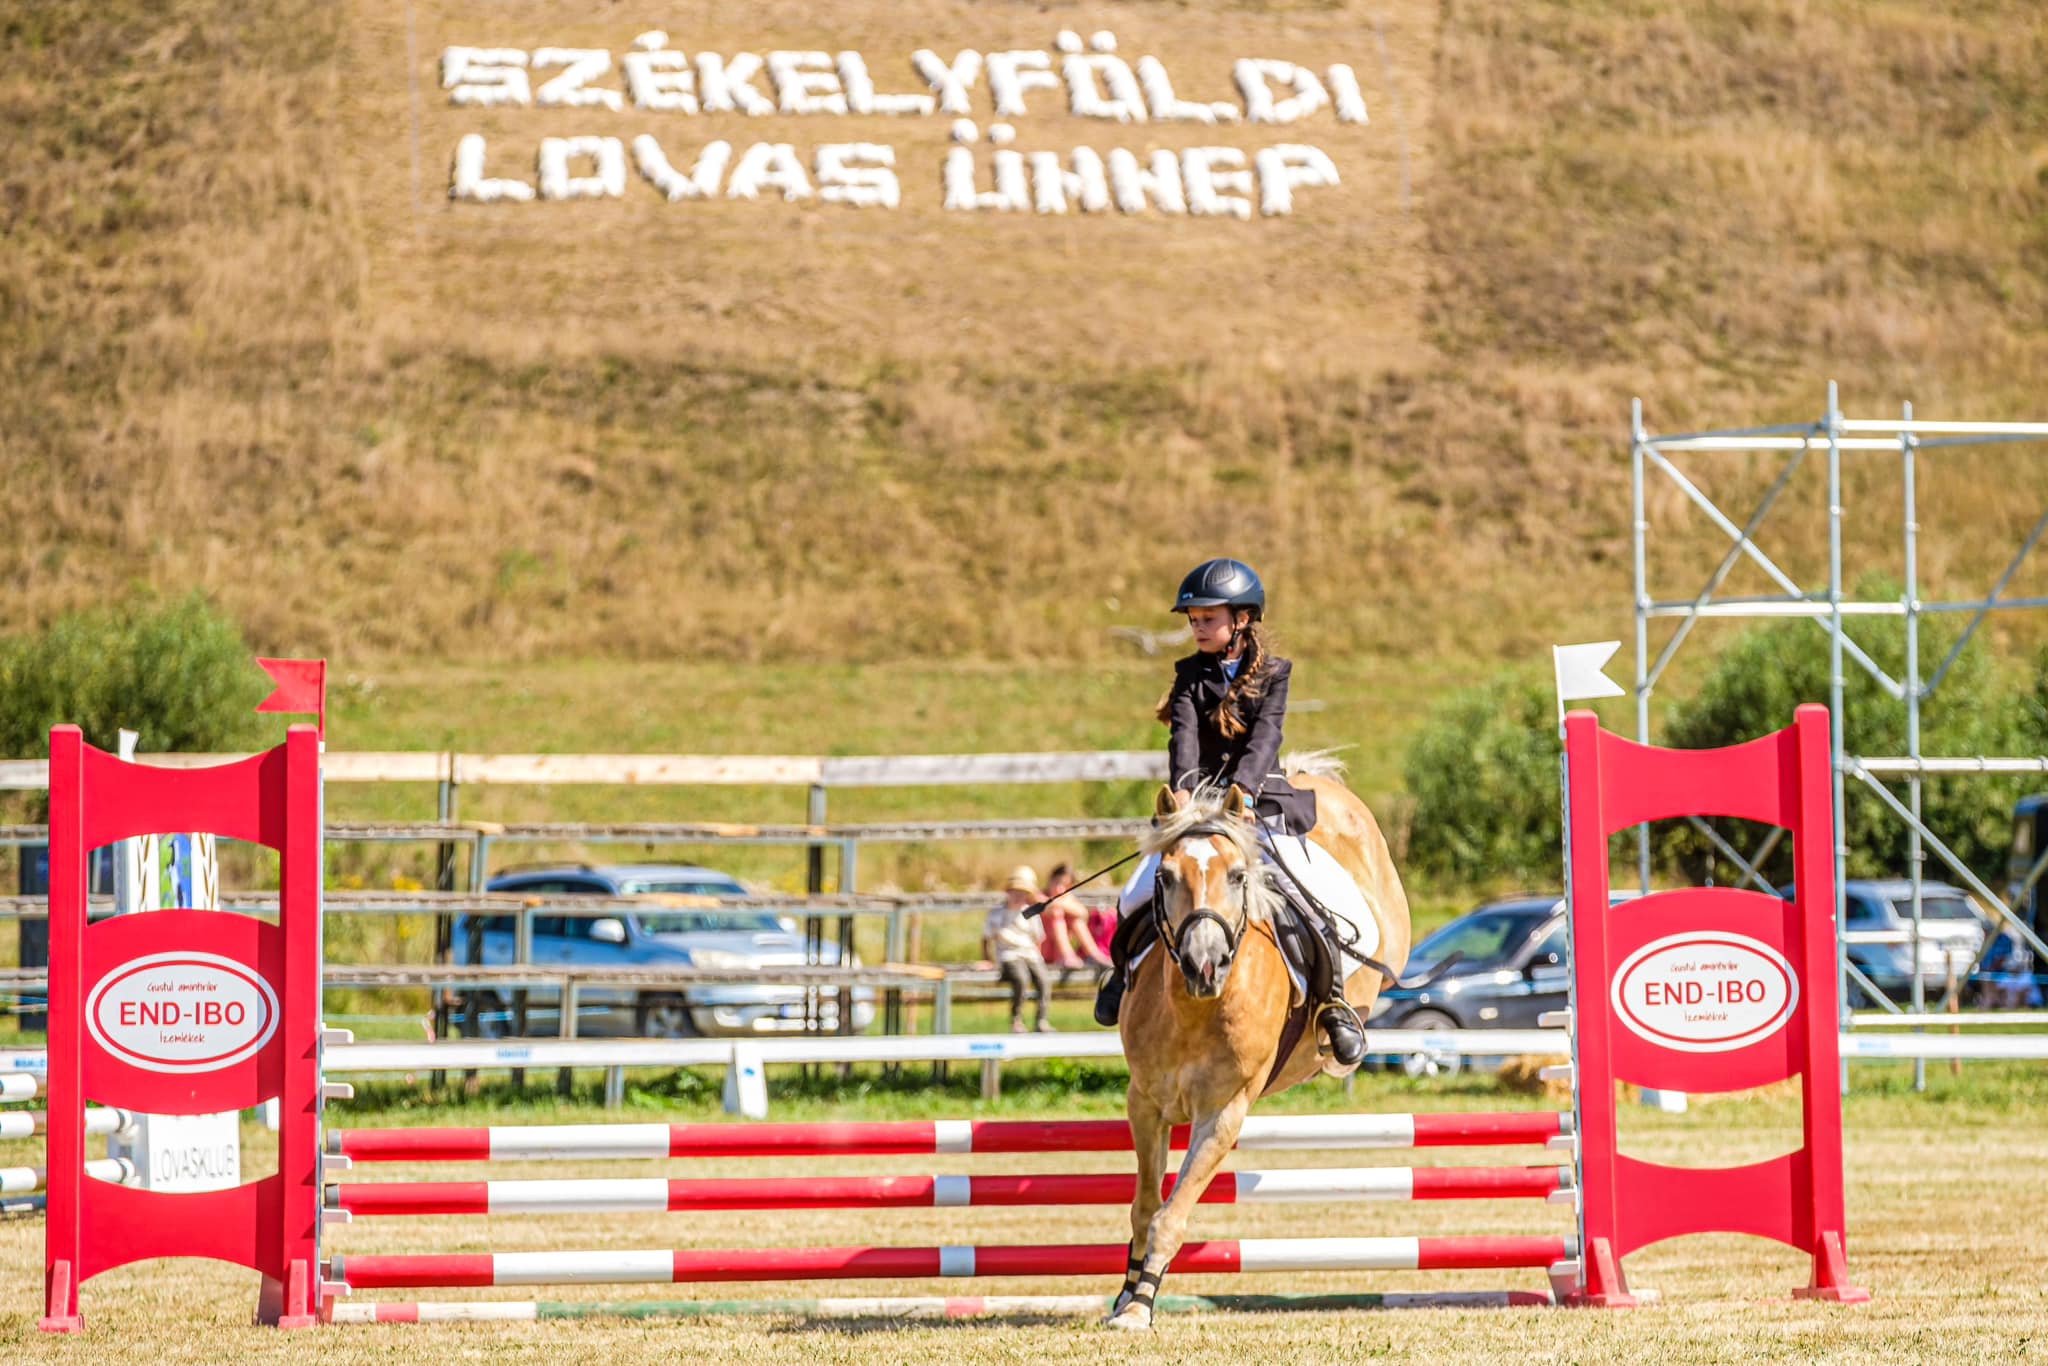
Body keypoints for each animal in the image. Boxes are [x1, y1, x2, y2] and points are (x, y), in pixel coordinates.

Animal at [1105, 757, 1409, 1327]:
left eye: (1238, 875)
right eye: (1165, 877)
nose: (1204, 964)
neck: (1195, 1010)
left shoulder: (1222, 1114)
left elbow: (1171, 1215)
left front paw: (1139, 1305)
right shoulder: (1146, 1103)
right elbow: (1145, 1206)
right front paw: (1129, 1295)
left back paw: (1340, 1041)